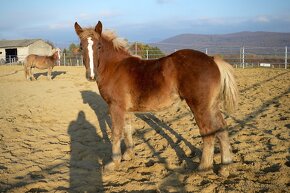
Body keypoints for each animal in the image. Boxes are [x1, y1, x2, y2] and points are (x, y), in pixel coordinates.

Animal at [74, 21, 238, 172]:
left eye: (99, 46)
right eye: (81, 47)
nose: (91, 76)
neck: (115, 67)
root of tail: (212, 59)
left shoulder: (116, 107)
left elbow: (116, 133)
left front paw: (113, 163)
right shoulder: (125, 109)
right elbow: (127, 129)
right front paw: (128, 155)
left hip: (199, 107)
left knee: (208, 132)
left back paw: (203, 167)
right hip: (212, 106)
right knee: (222, 129)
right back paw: (225, 166)